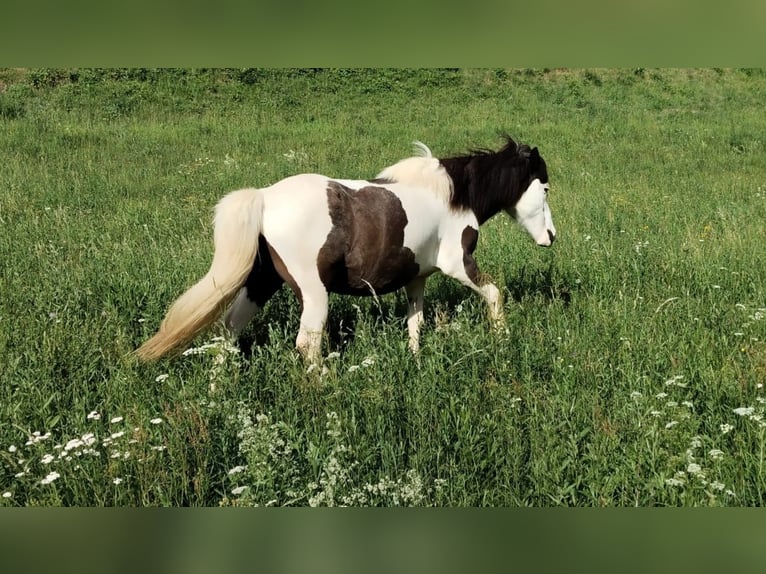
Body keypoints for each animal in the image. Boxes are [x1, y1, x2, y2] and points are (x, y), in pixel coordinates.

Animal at [134, 135, 556, 362]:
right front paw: (503, 340)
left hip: (260, 283)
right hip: (312, 292)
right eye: (545, 187)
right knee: (307, 345)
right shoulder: (459, 264)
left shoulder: (416, 278)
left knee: (227, 332)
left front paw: (416, 361)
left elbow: (415, 323)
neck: (453, 196)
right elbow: (495, 294)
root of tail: (264, 197)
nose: (551, 236)